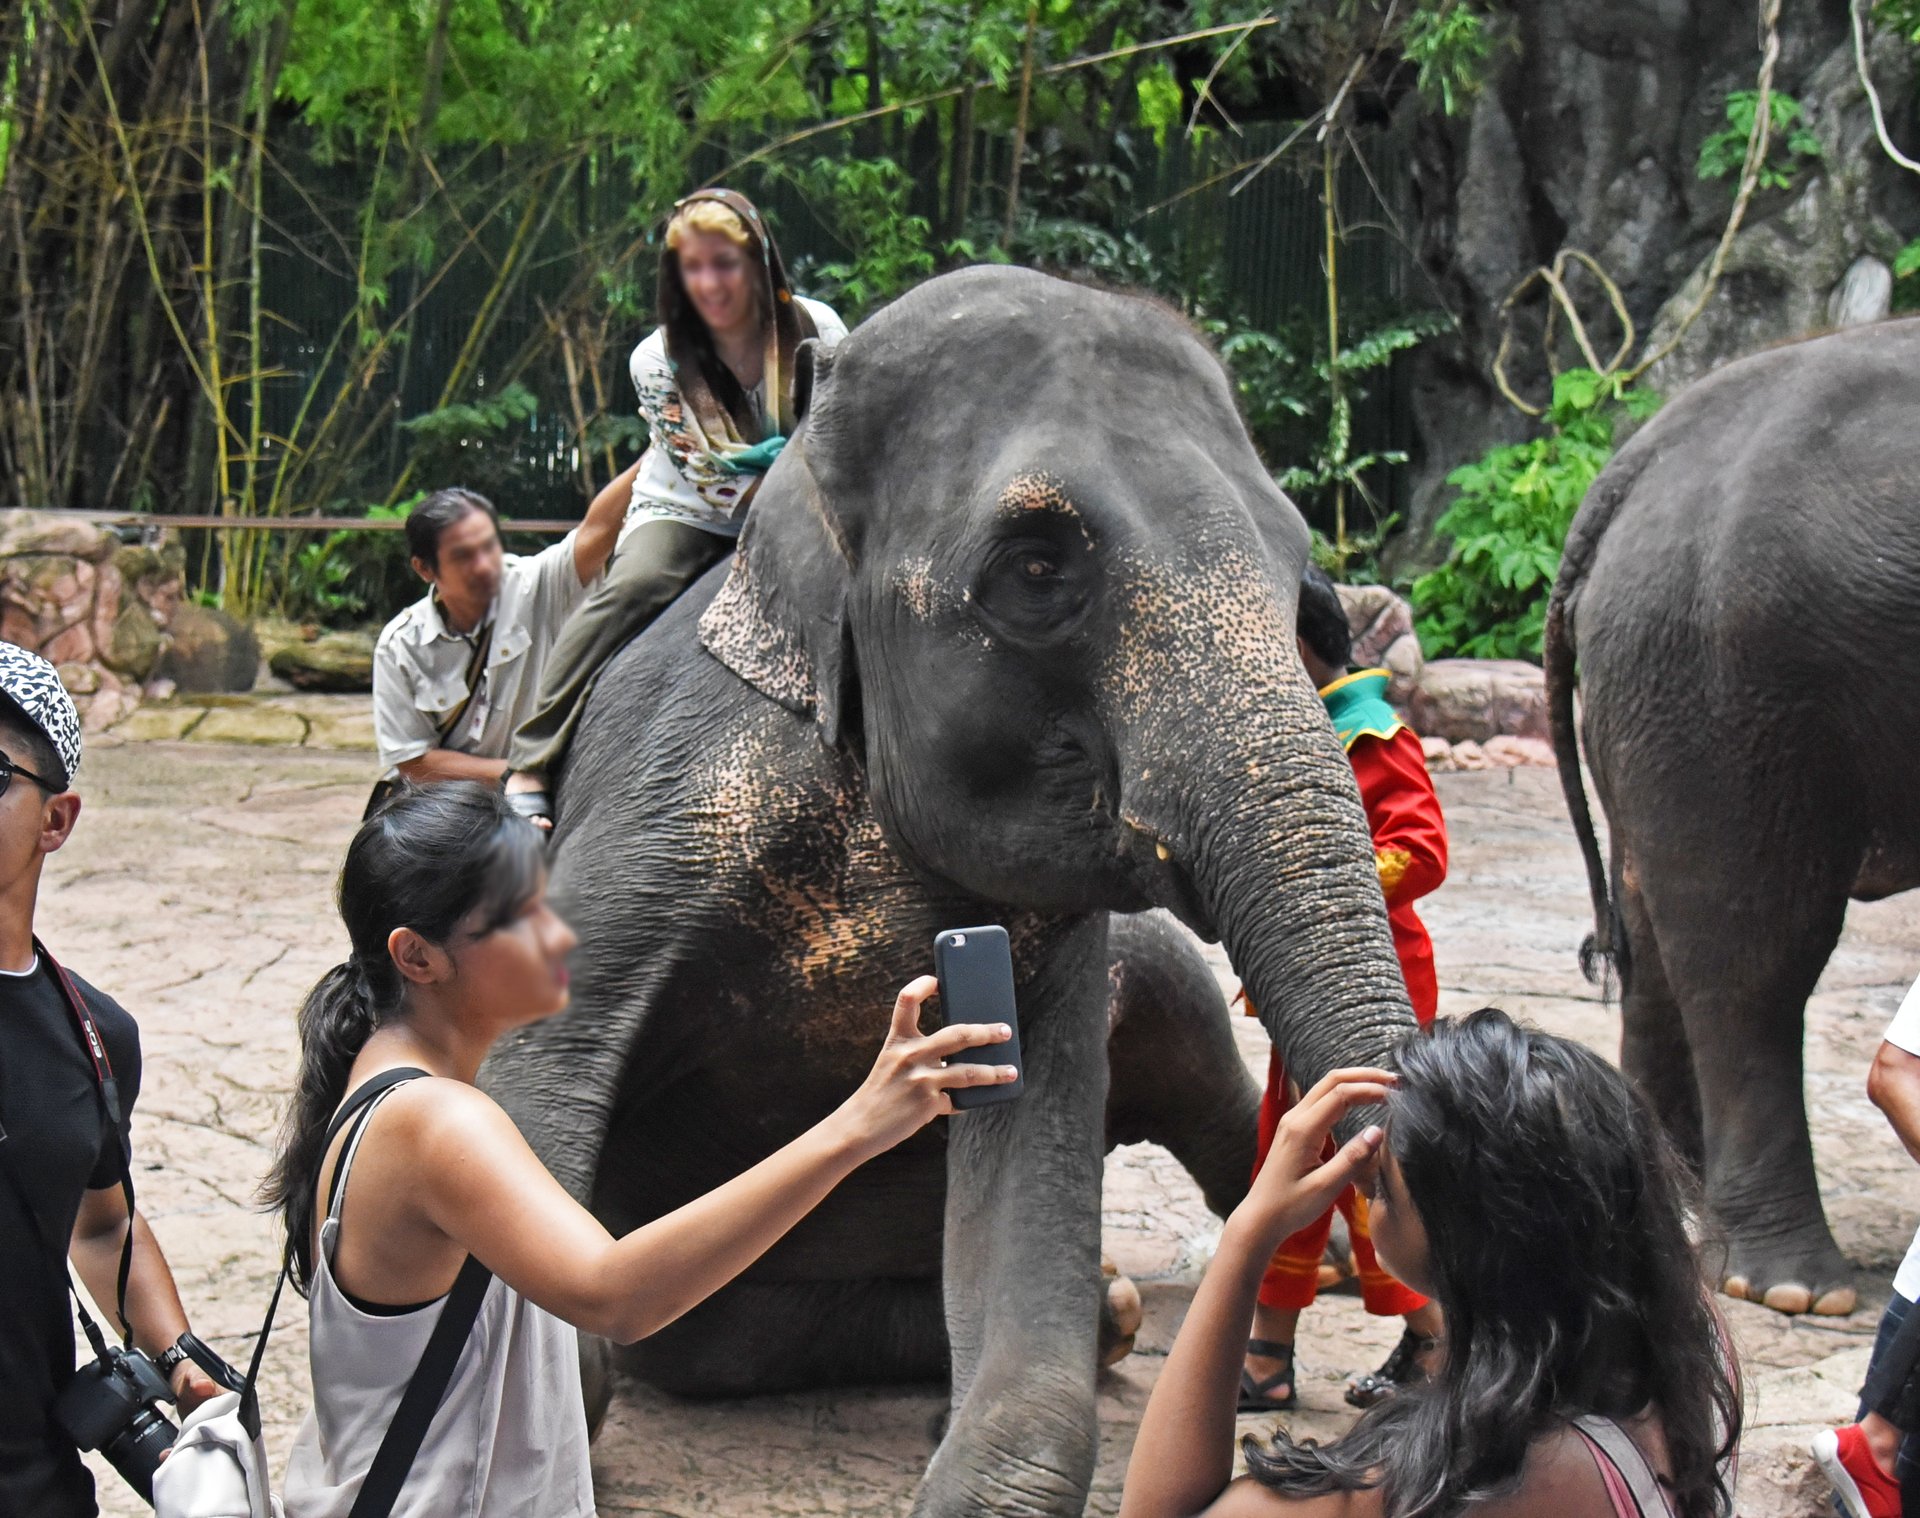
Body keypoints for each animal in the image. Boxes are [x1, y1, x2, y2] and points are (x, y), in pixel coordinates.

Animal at [1543, 318, 1920, 1320]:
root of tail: (1634, 462)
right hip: (1727, 677)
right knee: (1750, 947)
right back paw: (1793, 1290)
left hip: (1661, 675)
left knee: (1652, 926)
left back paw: (1668, 1212)